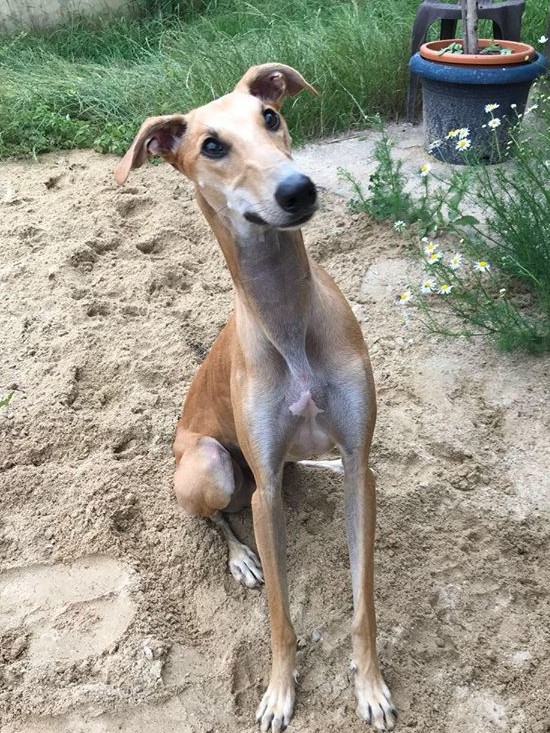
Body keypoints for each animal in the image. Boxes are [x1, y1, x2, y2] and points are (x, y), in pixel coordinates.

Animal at [115, 63, 396, 732]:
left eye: (270, 117)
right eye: (212, 145)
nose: (298, 189)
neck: (287, 318)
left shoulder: (360, 466)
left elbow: (363, 600)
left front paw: (369, 684)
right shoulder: (264, 491)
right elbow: (279, 614)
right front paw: (278, 692)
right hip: (211, 465)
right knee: (217, 513)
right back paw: (240, 557)